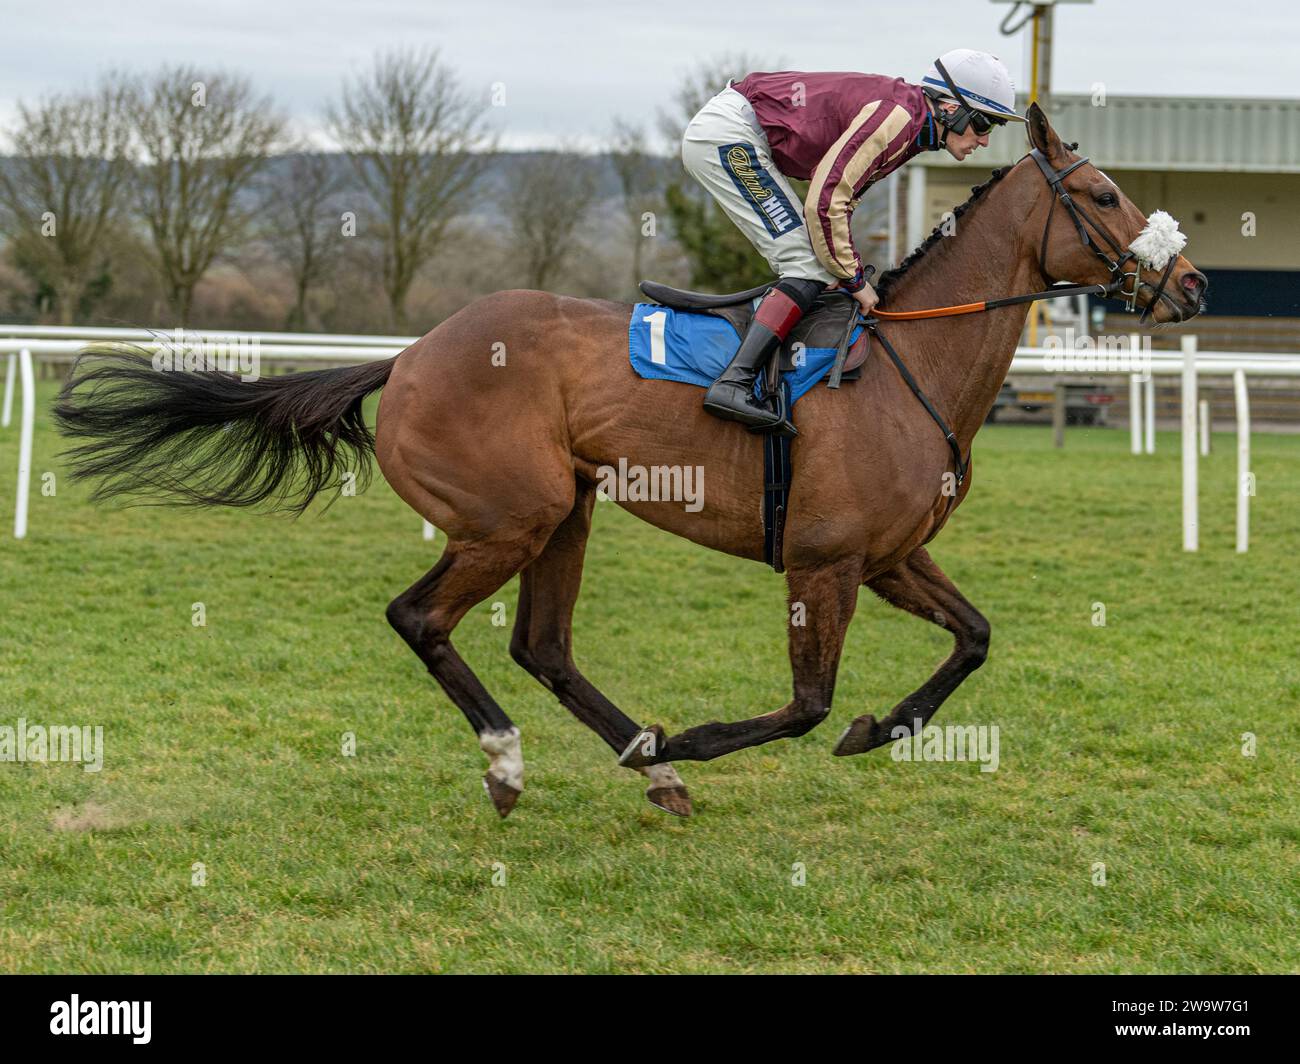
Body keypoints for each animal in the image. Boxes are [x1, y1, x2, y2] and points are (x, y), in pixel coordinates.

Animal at [53, 103, 1206, 816]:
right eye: (1105, 194)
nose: (1191, 285)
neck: (903, 361)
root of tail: (411, 354)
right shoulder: (823, 561)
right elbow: (806, 704)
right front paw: (691, 738)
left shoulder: (888, 557)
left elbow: (972, 639)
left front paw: (881, 727)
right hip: (508, 516)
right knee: (421, 618)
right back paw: (525, 761)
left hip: (566, 509)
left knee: (545, 646)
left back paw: (639, 766)